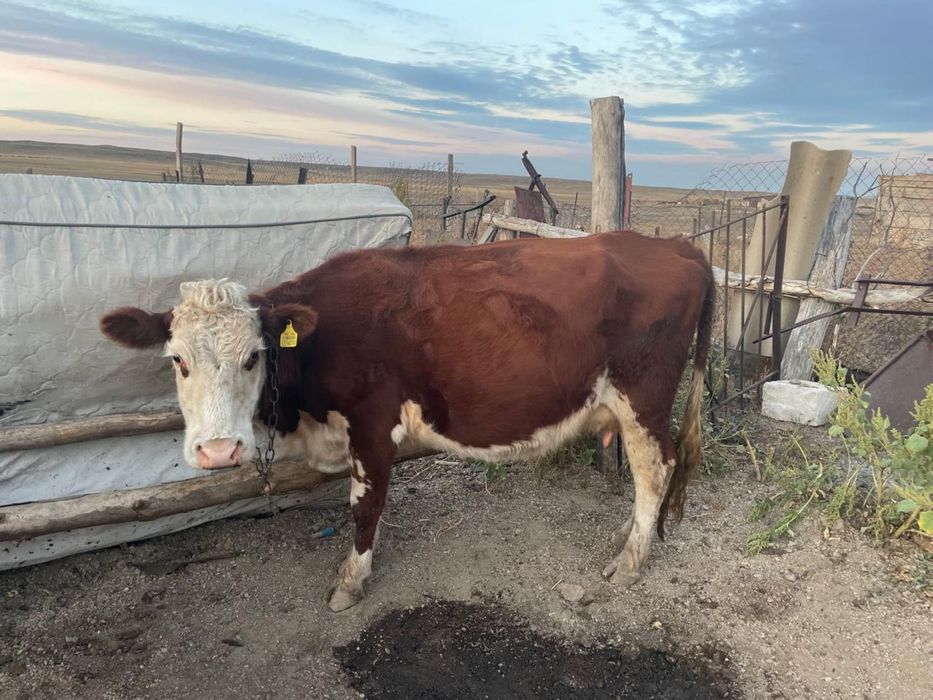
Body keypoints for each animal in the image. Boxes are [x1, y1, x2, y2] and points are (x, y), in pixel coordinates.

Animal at [100, 231, 714, 611]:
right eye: (177, 360)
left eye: (254, 357)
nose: (218, 451)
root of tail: (674, 245)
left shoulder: (373, 423)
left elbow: (364, 506)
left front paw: (350, 582)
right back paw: (627, 535)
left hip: (644, 396)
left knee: (655, 468)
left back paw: (630, 561)